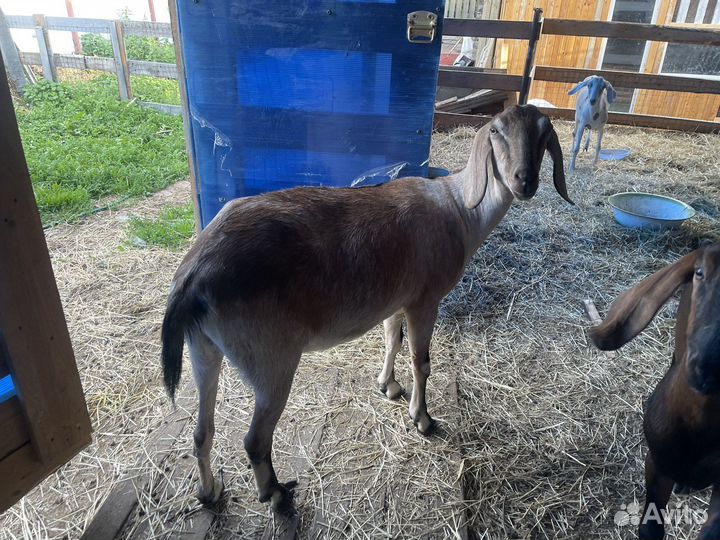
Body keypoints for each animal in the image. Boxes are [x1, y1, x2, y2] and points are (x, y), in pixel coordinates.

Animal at [161, 105, 574, 511]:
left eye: (543, 134)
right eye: (497, 132)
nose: (525, 180)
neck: (459, 211)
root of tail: (194, 274)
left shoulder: (396, 300)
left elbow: (392, 341)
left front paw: (388, 386)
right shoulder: (424, 300)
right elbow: (421, 361)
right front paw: (422, 419)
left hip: (203, 349)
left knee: (202, 431)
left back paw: (209, 491)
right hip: (269, 360)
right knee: (254, 440)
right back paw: (275, 493)